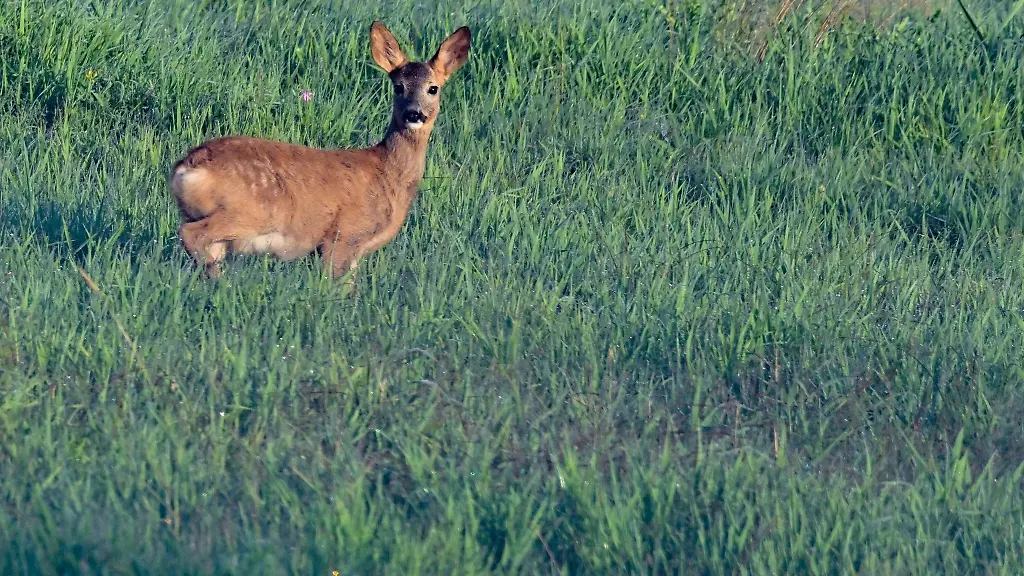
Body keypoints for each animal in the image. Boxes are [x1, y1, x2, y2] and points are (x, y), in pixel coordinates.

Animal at [168, 21, 471, 286]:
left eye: (433, 88)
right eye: (399, 87)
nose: (414, 114)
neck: (388, 173)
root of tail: (187, 168)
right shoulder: (344, 234)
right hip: (249, 212)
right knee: (191, 234)